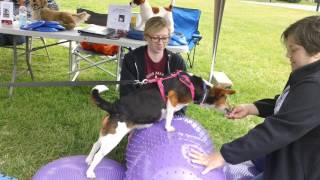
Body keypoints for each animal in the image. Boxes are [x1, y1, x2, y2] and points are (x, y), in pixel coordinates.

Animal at [85, 71, 235, 178]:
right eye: (226, 99)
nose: (231, 109)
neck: (197, 86)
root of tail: (114, 106)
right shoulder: (172, 99)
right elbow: (169, 116)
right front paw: (168, 128)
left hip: (108, 133)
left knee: (95, 144)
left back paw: (88, 160)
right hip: (114, 138)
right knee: (99, 155)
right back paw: (90, 172)